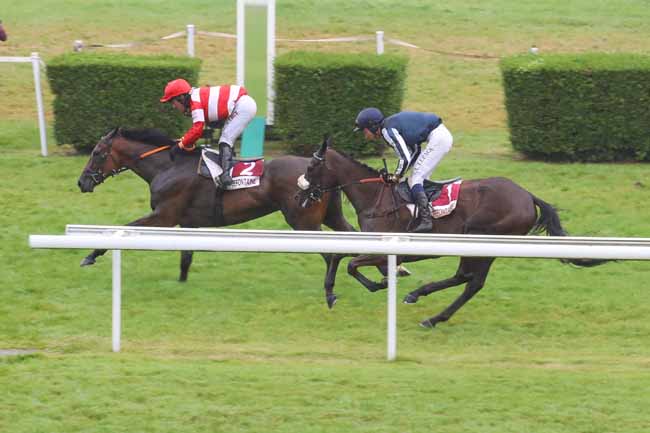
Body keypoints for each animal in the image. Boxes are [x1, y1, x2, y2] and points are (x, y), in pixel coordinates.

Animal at [296, 137, 604, 326]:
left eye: (311, 166)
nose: (299, 193)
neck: (375, 197)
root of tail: (527, 195)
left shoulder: (387, 250)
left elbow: (352, 265)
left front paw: (379, 283)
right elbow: (339, 256)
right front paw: (331, 294)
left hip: (481, 238)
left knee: (471, 282)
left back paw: (430, 314)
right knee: (467, 279)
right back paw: (422, 300)